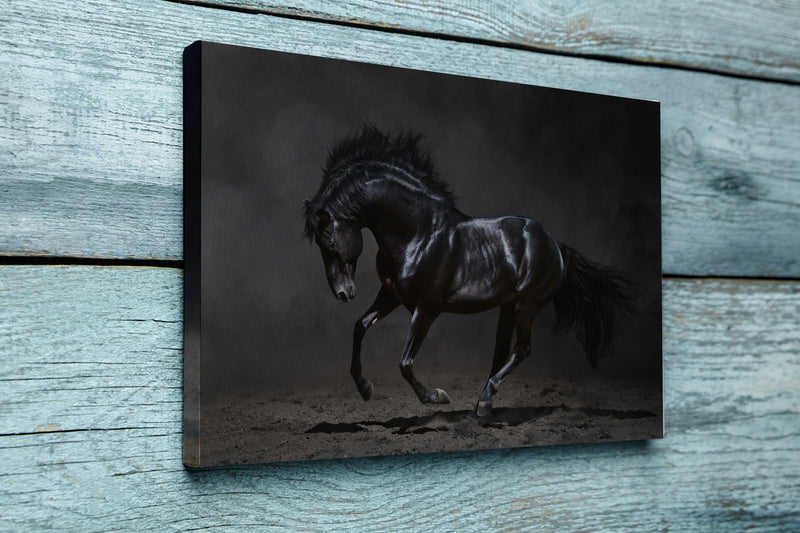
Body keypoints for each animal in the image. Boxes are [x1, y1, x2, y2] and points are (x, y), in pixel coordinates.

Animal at [304, 125, 636, 416]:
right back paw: (482, 405)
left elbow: (405, 363)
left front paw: (437, 397)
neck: (417, 232)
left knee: (522, 349)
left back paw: (485, 402)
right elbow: (360, 326)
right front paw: (365, 388)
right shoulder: (392, 295)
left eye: (329, 243)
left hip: (527, 305)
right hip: (509, 307)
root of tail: (555, 245)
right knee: (502, 352)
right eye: (318, 245)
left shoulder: (426, 308)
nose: (344, 293)